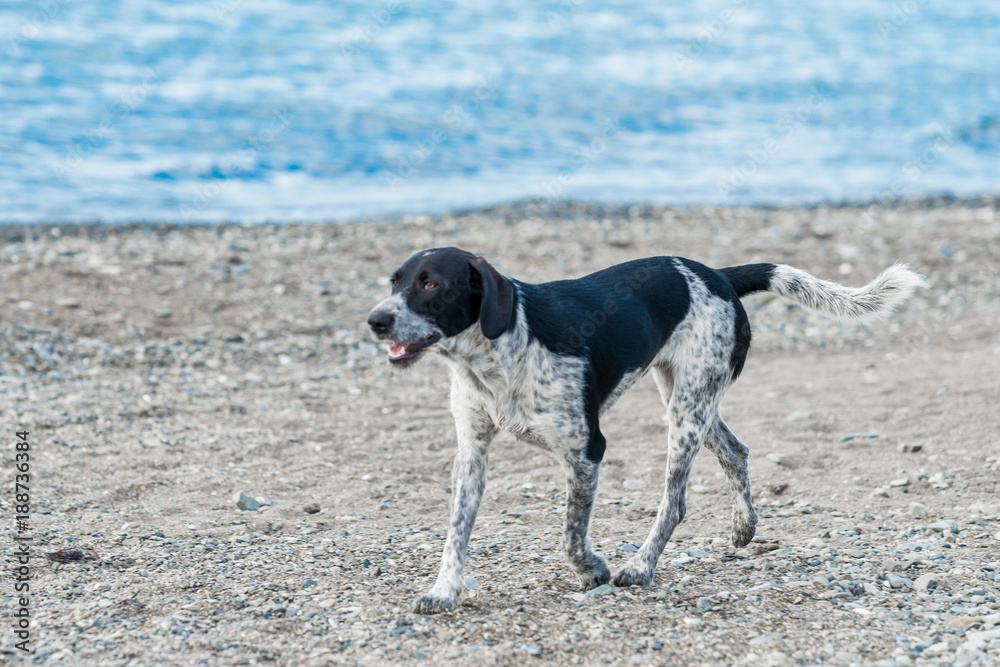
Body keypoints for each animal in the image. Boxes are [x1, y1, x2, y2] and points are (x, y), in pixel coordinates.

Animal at [366, 248, 920, 612]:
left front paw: (594, 569)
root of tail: (717, 274)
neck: (494, 356)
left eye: (432, 284)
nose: (375, 320)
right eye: (394, 282)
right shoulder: (472, 453)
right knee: (736, 451)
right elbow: (456, 533)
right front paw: (444, 590)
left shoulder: (586, 450)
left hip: (687, 411)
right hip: (687, 398)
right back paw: (744, 525)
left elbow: (571, 535)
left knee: (674, 503)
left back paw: (641, 566)